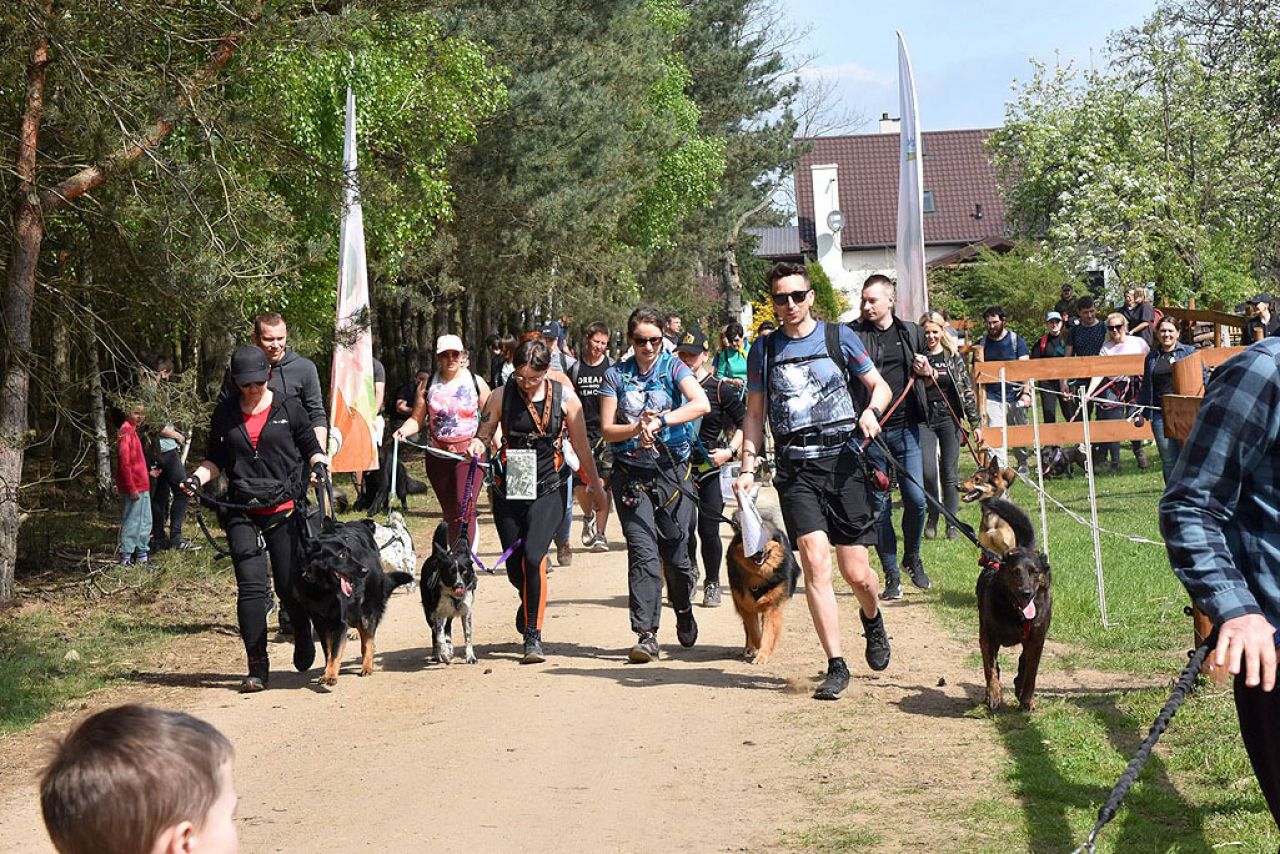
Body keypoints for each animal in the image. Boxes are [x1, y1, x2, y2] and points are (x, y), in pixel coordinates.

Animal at [295, 517, 412, 686]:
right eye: (341, 555)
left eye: (348, 552)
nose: (365, 570)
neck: (321, 588)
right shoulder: (320, 623)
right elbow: (328, 650)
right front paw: (326, 671)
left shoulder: (340, 621)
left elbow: (336, 651)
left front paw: (331, 675)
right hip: (356, 614)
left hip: (366, 613)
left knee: (368, 641)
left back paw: (367, 666)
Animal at [419, 522, 481, 665]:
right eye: (450, 572)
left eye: (465, 571)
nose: (459, 586)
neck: (453, 596)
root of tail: (435, 555)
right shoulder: (438, 614)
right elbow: (439, 637)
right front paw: (445, 655)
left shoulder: (466, 612)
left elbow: (468, 636)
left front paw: (470, 657)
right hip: (429, 613)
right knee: (435, 634)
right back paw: (437, 654)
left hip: (451, 613)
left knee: (448, 628)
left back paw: (449, 646)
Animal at [727, 517, 793, 665]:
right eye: (748, 539)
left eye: (765, 538)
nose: (758, 552)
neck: (758, 574)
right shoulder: (745, 605)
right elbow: (754, 631)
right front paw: (757, 648)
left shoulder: (773, 606)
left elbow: (767, 632)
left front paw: (763, 655)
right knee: (747, 629)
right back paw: (749, 648)